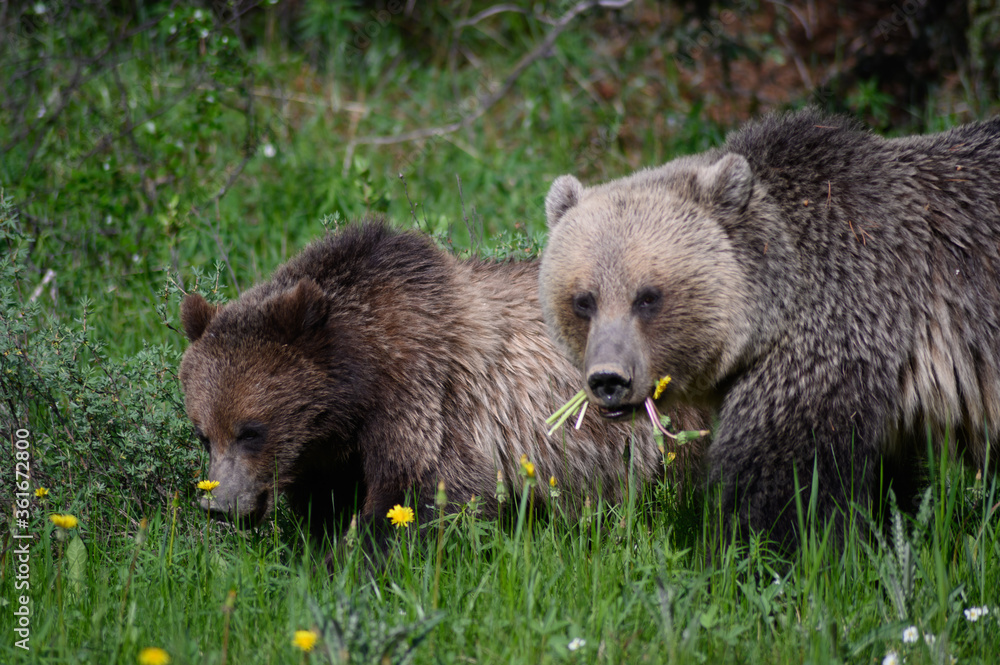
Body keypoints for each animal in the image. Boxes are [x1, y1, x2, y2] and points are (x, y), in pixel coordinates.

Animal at [178, 219, 703, 550]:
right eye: (204, 434)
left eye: (251, 431)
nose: (218, 504)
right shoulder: (334, 449)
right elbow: (329, 500)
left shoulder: (430, 395)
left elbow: (424, 493)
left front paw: (349, 561)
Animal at [539, 109, 1000, 550]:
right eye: (584, 300)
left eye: (648, 297)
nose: (608, 379)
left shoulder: (838, 330)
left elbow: (785, 480)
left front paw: (759, 552)